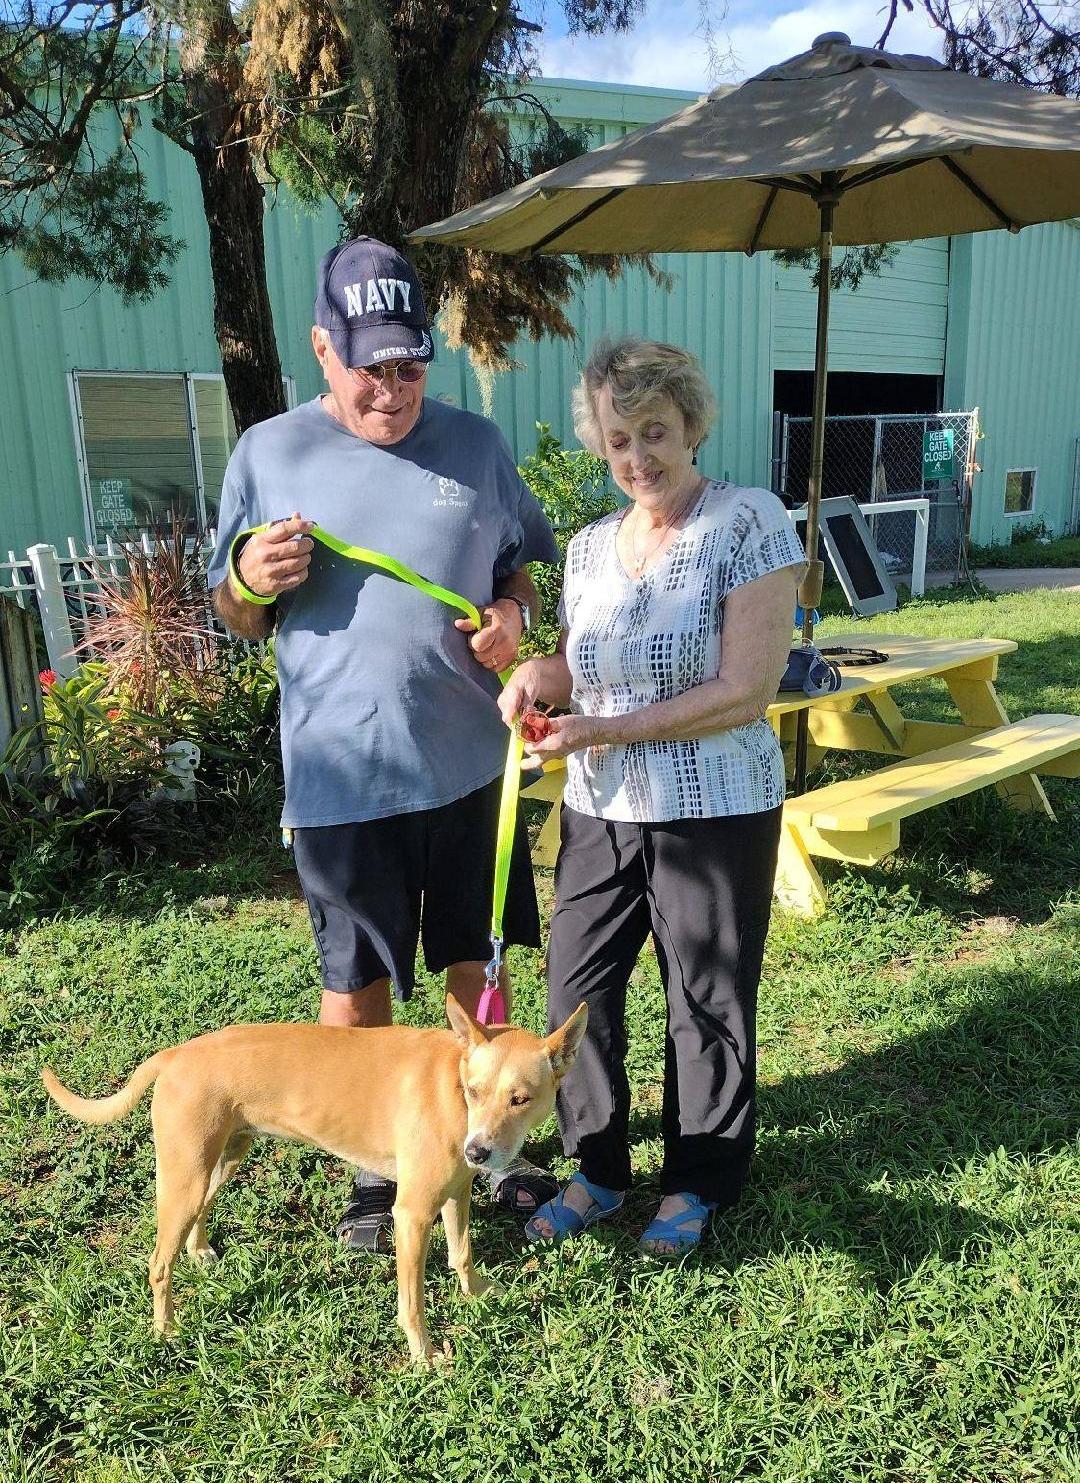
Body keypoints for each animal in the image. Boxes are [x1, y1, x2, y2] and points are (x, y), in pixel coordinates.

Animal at [42, 996, 587, 1364]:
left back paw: (199, 1253)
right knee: (158, 1264)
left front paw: (475, 1292)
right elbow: (412, 1304)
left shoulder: (456, 1195)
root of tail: (175, 1054)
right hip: (185, 1175)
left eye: (520, 1099)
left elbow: (463, 1253)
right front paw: (423, 1355)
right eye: (473, 1091)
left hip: (221, 1160)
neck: (450, 1082)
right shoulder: (411, 1214)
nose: (478, 1151)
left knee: (198, 1217)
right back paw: (166, 1331)